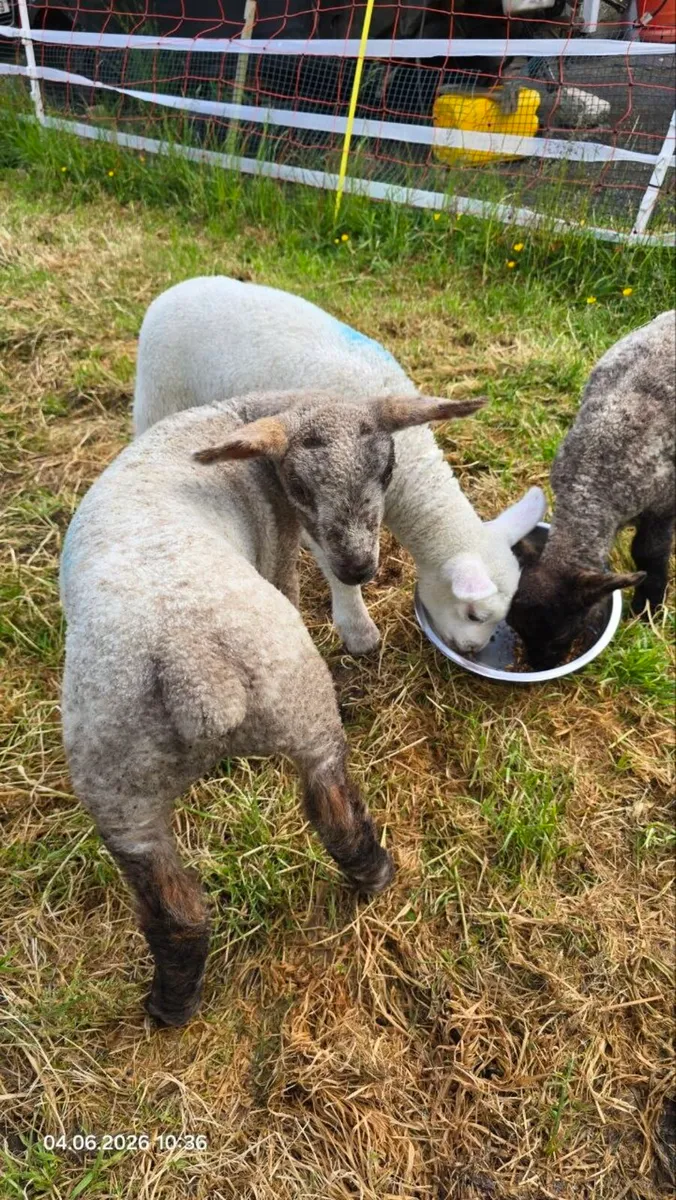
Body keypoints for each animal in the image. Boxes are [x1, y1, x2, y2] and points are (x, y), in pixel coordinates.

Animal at [60, 386, 477, 1026]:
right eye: (299, 487)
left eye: (385, 471)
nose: (358, 568)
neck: (242, 414)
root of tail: (193, 670)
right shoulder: (280, 549)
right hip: (302, 708)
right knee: (337, 816)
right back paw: (377, 877)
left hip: (118, 791)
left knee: (176, 914)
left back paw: (171, 1005)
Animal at [133, 276, 546, 656]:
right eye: (474, 614)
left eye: (502, 614)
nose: (472, 650)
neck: (410, 470)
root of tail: (180, 286)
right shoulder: (319, 510)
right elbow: (339, 572)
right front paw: (358, 631)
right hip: (158, 391)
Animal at [508, 310, 675, 671]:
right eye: (514, 627)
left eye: (561, 635)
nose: (539, 667)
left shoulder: (663, 504)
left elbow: (649, 552)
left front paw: (648, 611)